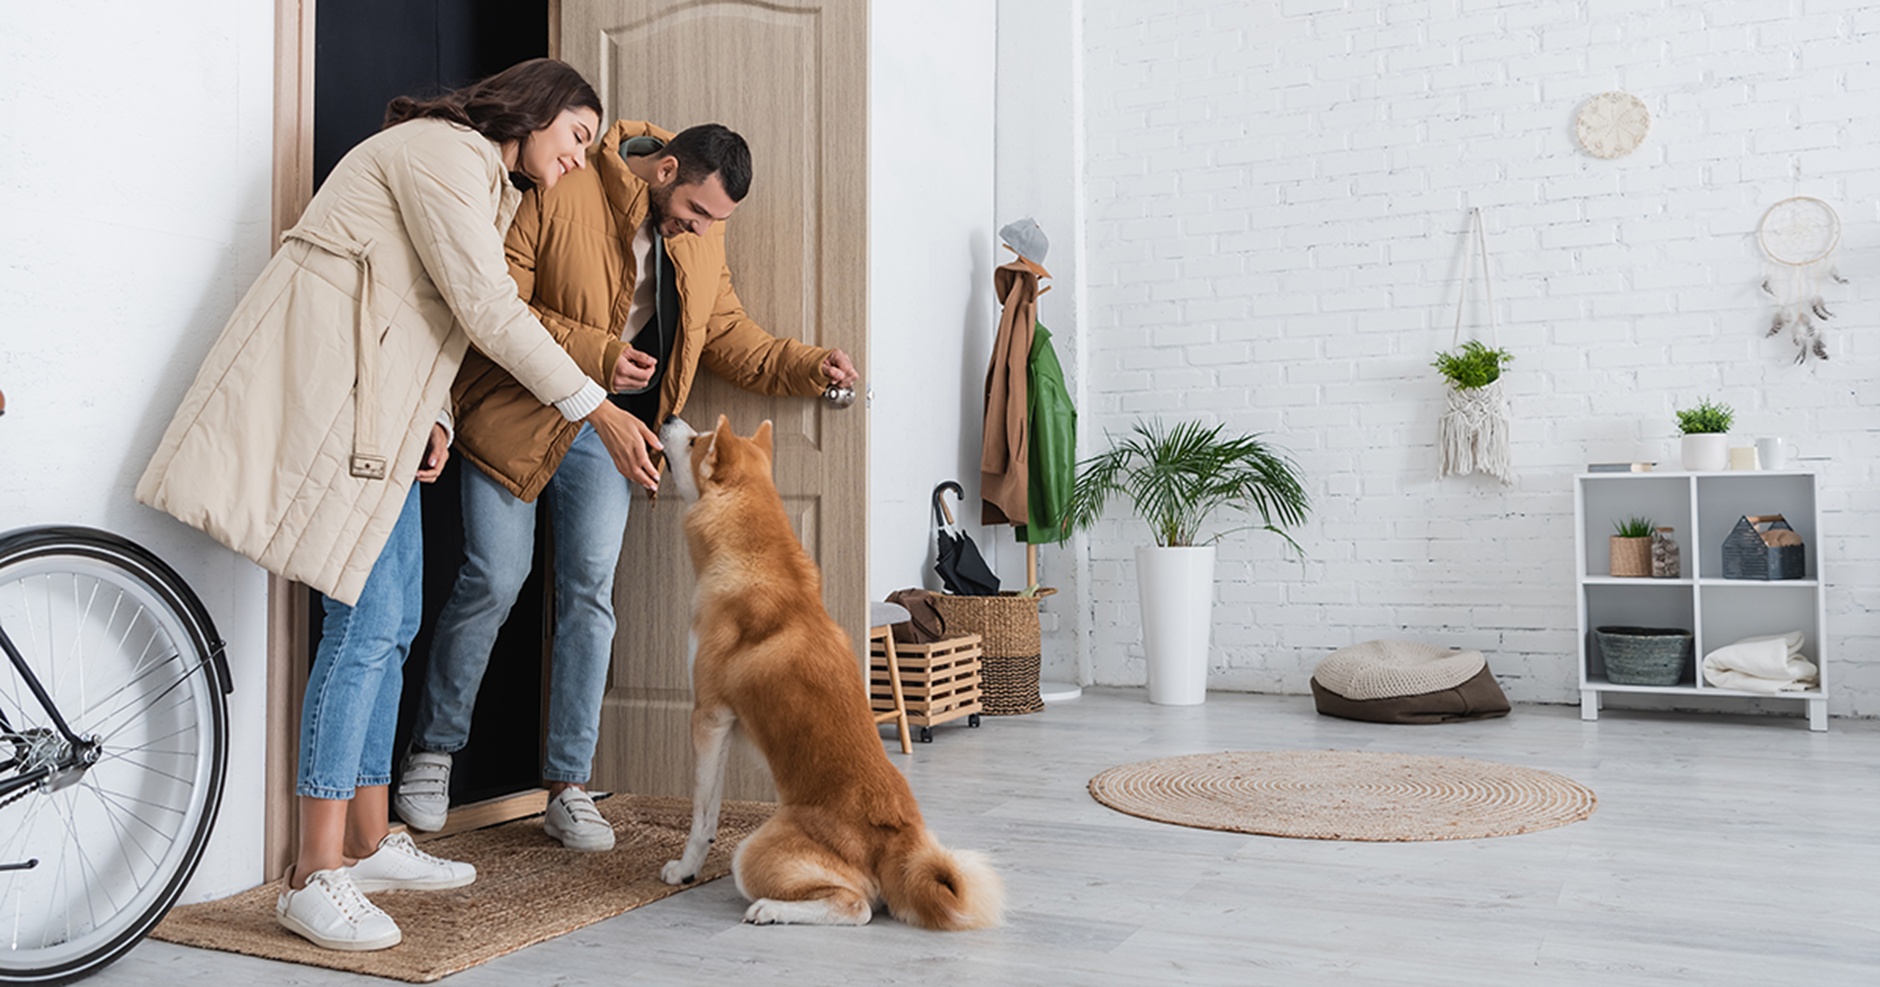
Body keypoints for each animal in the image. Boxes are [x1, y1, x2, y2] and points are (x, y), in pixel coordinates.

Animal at [658, 411, 1007, 928]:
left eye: (695, 441)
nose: (667, 416)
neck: (753, 558)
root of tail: (897, 838)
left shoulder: (709, 716)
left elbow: (702, 815)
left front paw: (685, 868)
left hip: (753, 853)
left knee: (856, 907)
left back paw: (770, 910)